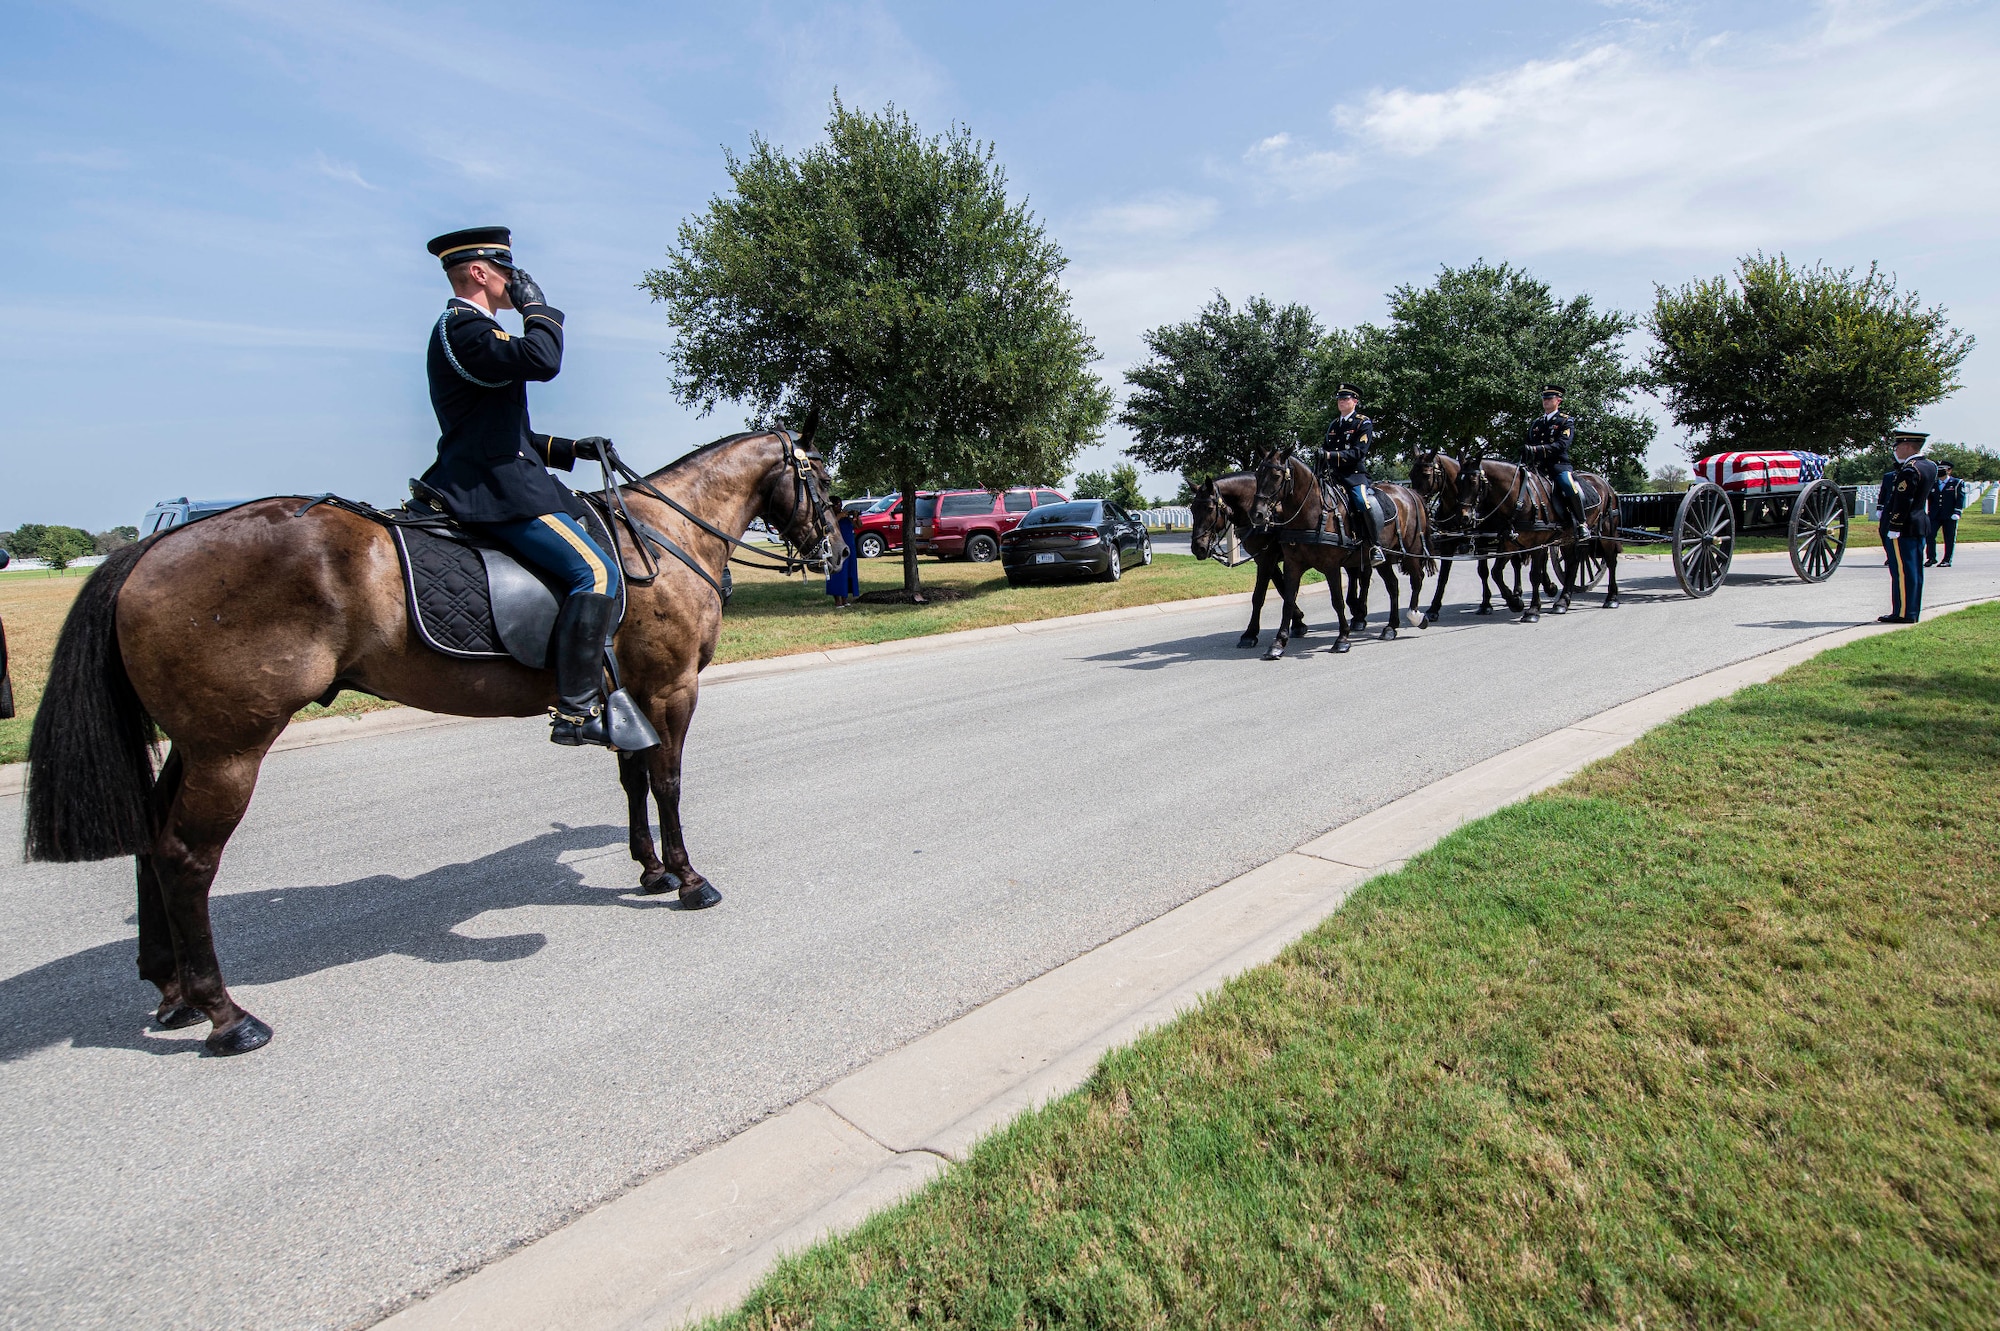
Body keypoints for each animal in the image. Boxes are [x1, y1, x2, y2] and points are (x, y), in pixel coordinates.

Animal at [27, 429, 848, 1055]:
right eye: (823, 479)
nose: (837, 553)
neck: (667, 534)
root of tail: (150, 551)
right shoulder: (670, 690)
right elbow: (667, 782)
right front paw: (685, 877)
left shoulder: (631, 695)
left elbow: (632, 781)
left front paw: (646, 867)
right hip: (230, 748)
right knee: (185, 859)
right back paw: (225, 1016)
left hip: (194, 745)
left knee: (151, 843)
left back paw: (172, 992)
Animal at [1248, 447, 1424, 655]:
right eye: (1257, 475)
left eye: (1276, 475)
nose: (1257, 514)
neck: (1312, 512)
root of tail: (1409, 492)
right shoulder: (1292, 564)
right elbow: (1289, 601)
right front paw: (1279, 642)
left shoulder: (1331, 566)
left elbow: (1338, 600)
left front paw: (1342, 638)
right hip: (1386, 560)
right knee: (1393, 585)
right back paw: (1391, 627)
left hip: (1411, 552)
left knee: (1416, 580)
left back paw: (1415, 615)